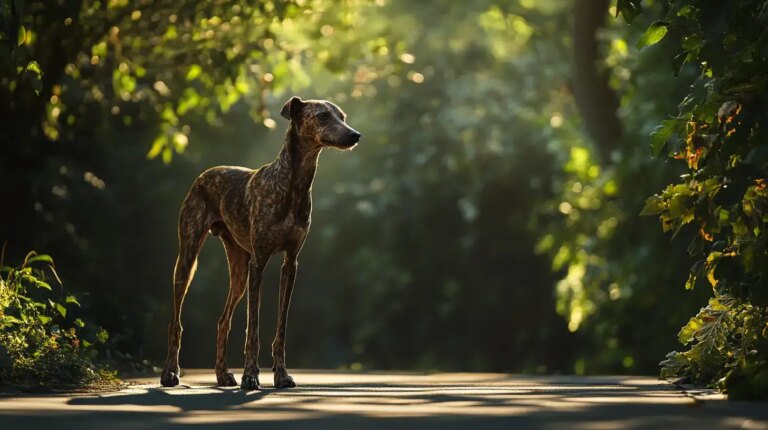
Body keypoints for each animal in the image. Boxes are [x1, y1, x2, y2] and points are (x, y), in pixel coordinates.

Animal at [160, 96, 364, 390]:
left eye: (343, 116)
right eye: (323, 116)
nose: (355, 135)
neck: (292, 184)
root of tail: (206, 173)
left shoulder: (290, 263)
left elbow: (281, 327)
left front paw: (281, 375)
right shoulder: (260, 262)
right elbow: (253, 329)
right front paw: (250, 376)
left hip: (239, 270)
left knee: (222, 321)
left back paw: (223, 374)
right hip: (188, 258)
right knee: (175, 321)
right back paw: (170, 373)